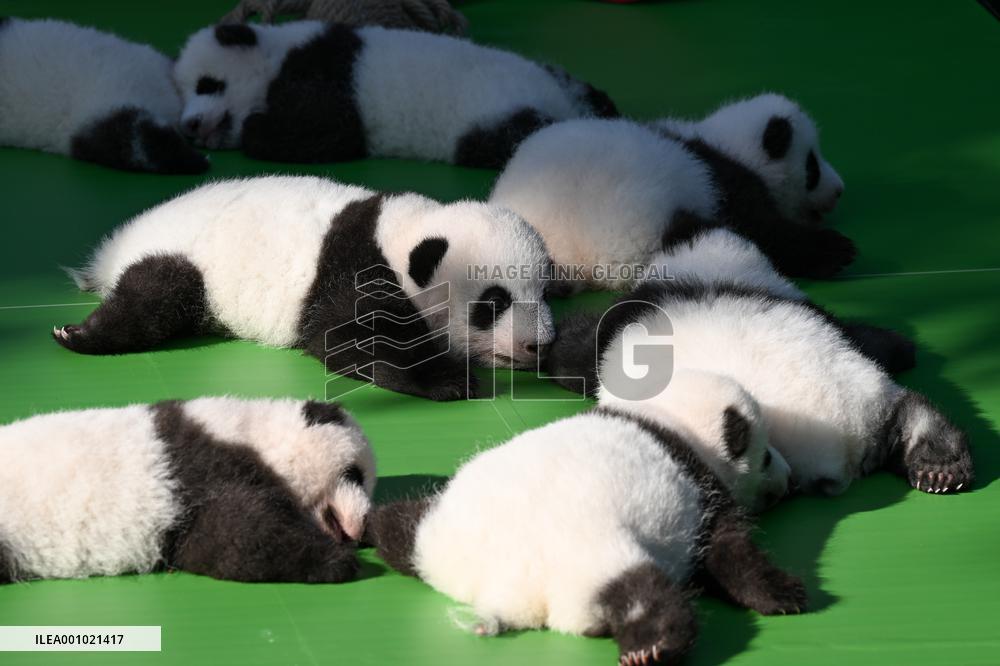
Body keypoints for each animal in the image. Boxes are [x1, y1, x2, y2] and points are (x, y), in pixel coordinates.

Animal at [52, 176, 555, 401]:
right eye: (493, 303)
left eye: (545, 291)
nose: (539, 345)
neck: (405, 234)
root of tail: (115, 247)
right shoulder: (356, 269)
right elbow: (345, 337)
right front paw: (446, 378)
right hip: (184, 255)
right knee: (155, 297)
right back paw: (79, 335)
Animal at [171, 21, 618, 168]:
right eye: (184, 95)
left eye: (208, 84)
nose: (190, 125)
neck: (275, 55)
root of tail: (559, 98)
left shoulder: (322, 69)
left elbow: (333, 131)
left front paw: (256, 126)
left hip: (491, 109)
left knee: (505, 136)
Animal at [367, 370, 804, 666]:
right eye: (765, 456)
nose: (788, 479)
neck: (664, 417)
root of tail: (501, 595)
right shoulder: (700, 488)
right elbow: (729, 548)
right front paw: (782, 594)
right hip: (589, 555)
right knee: (639, 591)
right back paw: (652, 646)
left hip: (440, 534)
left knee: (401, 527)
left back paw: (374, 526)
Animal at [489, 94, 853, 291]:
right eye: (812, 166)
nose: (839, 190)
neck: (731, 146)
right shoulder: (725, 185)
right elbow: (767, 231)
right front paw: (835, 250)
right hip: (638, 224)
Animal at [546, 230, 973, 496]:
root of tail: (849, 445)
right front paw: (902, 347)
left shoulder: (638, 311)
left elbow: (580, 351)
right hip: (868, 392)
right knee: (910, 414)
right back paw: (940, 465)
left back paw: (940, 466)